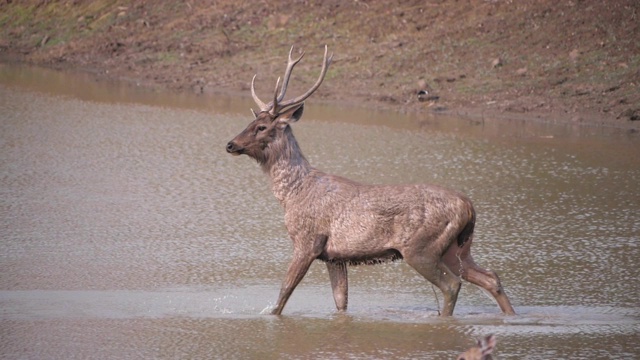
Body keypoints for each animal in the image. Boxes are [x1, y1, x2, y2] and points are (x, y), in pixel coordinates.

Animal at [225, 46, 516, 316]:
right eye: (251, 121)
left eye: (261, 127)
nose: (230, 144)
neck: (292, 195)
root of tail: (469, 207)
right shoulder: (334, 256)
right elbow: (341, 302)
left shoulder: (307, 240)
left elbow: (283, 294)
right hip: (458, 248)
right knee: (491, 278)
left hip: (422, 248)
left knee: (452, 285)